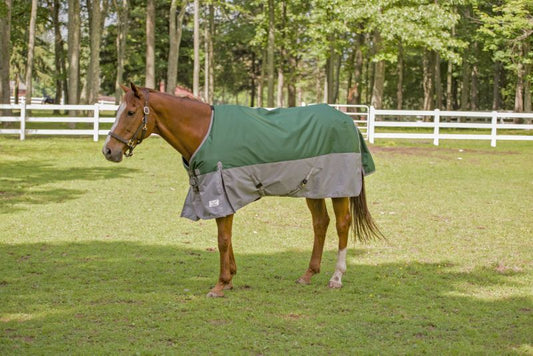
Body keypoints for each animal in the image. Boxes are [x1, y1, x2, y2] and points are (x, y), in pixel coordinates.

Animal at [102, 83, 380, 298]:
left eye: (130, 112)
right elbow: (227, 237)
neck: (204, 132)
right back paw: (308, 274)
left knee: (342, 225)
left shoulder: (221, 190)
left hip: (339, 188)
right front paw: (230, 278)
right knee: (321, 223)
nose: (108, 150)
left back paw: (336, 277)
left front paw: (221, 284)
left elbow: (223, 240)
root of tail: (348, 121)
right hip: (312, 187)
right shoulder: (218, 193)